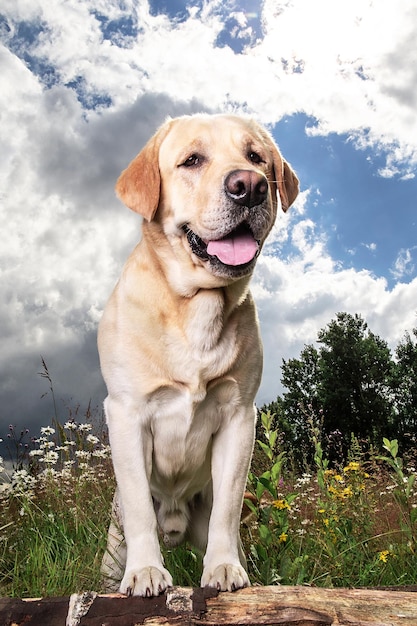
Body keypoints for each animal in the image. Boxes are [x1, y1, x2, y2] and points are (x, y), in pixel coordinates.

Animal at [98, 112, 298, 596]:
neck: (197, 308)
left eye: (256, 157)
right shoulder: (126, 412)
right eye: (191, 160)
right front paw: (146, 571)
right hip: (112, 543)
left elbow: (228, 506)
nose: (250, 185)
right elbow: (138, 505)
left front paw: (223, 568)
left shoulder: (239, 416)